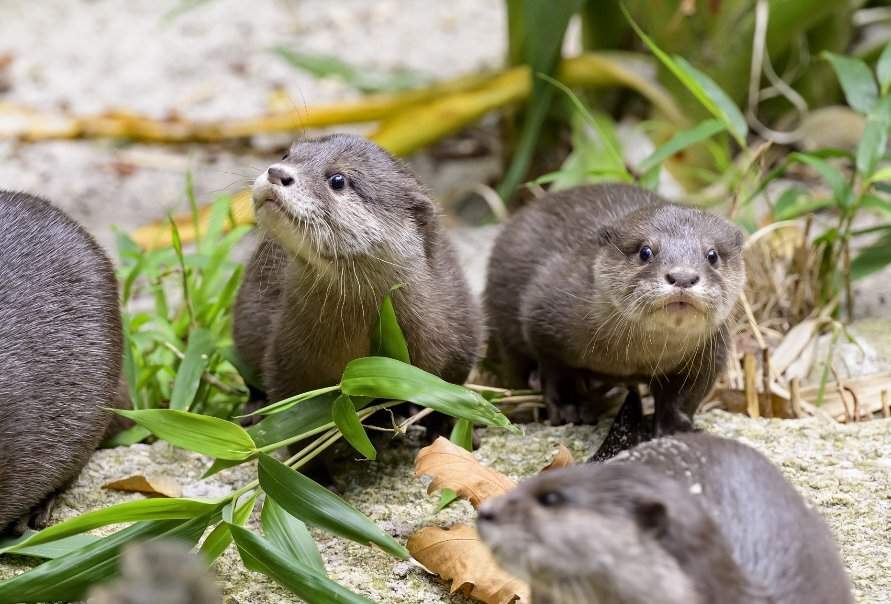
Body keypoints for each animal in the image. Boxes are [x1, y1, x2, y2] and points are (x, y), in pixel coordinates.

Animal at [485, 183, 745, 442]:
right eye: (645, 252)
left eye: (712, 255)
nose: (682, 276)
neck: (632, 359)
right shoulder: (542, 316)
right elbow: (556, 370)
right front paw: (569, 406)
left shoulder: (709, 355)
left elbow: (683, 397)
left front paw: (677, 428)